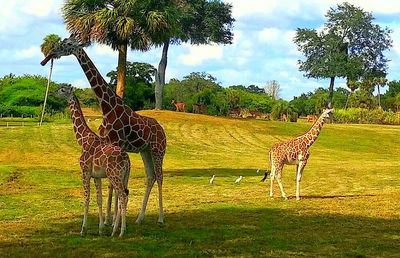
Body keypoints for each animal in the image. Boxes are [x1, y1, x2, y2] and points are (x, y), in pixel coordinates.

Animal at [55, 83, 130, 237]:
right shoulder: (97, 176)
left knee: (122, 196)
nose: (54, 93)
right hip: (124, 176)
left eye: (63, 89)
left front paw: (83, 229)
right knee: (124, 195)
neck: (82, 140)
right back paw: (116, 229)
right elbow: (99, 199)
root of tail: (127, 160)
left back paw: (120, 232)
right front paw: (100, 229)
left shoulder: (85, 171)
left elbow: (86, 198)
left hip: (115, 176)